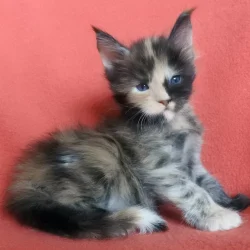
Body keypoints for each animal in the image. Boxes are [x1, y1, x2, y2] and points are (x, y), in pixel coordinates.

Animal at [5, 9, 250, 239]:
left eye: (175, 79)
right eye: (142, 87)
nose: (164, 101)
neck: (170, 123)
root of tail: (22, 183)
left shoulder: (191, 159)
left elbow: (206, 180)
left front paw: (228, 202)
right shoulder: (158, 167)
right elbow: (191, 190)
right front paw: (217, 215)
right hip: (104, 153)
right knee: (71, 213)